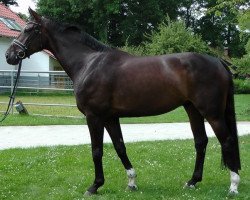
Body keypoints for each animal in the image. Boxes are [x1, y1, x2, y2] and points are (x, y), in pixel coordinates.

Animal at [5, 9, 240, 195]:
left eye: (28, 30)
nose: (9, 55)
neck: (89, 63)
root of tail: (218, 61)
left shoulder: (94, 117)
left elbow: (96, 151)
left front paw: (94, 186)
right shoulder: (110, 118)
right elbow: (120, 147)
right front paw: (132, 182)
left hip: (212, 113)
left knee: (227, 141)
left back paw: (233, 185)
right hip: (192, 109)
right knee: (201, 142)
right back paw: (192, 182)